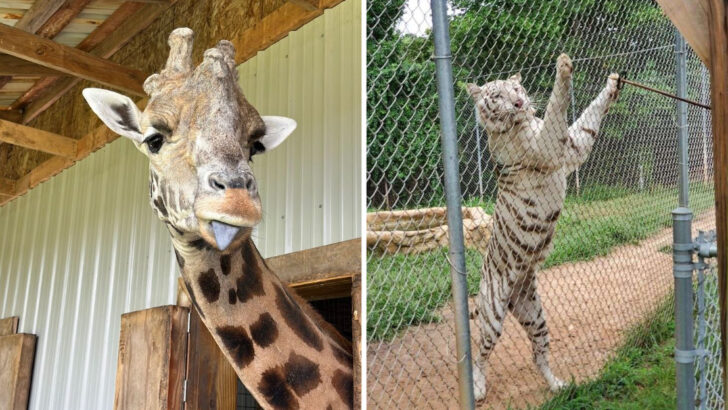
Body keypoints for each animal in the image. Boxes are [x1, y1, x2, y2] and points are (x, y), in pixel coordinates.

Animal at [465, 53, 620, 401]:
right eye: (497, 96)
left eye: (516, 88)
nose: (519, 102)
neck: (521, 123)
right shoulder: (550, 146)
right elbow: (556, 105)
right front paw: (563, 68)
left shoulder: (573, 147)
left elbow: (588, 117)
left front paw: (613, 84)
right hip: (493, 316)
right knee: (480, 354)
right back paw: (478, 388)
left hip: (534, 314)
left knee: (538, 355)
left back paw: (559, 385)